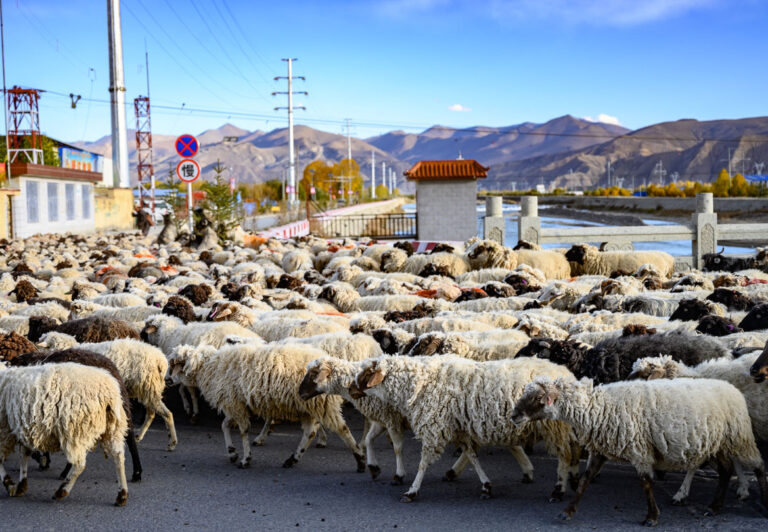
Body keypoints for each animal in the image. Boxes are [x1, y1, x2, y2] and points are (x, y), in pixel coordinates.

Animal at [0, 362, 129, 505]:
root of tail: (109, 392)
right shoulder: (23, 430)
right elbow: (24, 455)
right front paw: (21, 485)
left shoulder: (5, 431)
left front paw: (9, 484)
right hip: (113, 428)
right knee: (118, 457)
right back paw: (122, 495)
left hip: (76, 430)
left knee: (79, 464)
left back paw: (62, 491)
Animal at [168, 343, 365, 471]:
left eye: (175, 364)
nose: (167, 380)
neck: (210, 367)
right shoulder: (235, 403)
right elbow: (224, 425)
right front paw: (232, 452)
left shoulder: (234, 404)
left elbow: (243, 431)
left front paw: (245, 459)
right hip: (307, 406)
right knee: (310, 432)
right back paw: (293, 459)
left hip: (320, 403)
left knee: (342, 429)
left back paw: (360, 459)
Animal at [351, 355, 581, 502]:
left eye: (366, 374)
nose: (350, 389)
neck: (419, 383)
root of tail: (566, 374)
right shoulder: (459, 428)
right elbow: (472, 456)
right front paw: (486, 485)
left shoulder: (434, 427)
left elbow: (423, 463)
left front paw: (412, 491)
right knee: (574, 450)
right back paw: (572, 480)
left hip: (554, 427)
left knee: (565, 456)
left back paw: (558, 490)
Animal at [511, 377, 768, 525]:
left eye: (537, 397)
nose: (513, 416)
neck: (598, 408)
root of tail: (732, 388)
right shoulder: (600, 450)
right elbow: (584, 481)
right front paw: (568, 511)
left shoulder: (639, 449)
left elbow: (646, 483)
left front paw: (652, 517)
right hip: (715, 443)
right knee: (725, 471)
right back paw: (714, 507)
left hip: (739, 437)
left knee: (757, 465)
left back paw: (759, 502)